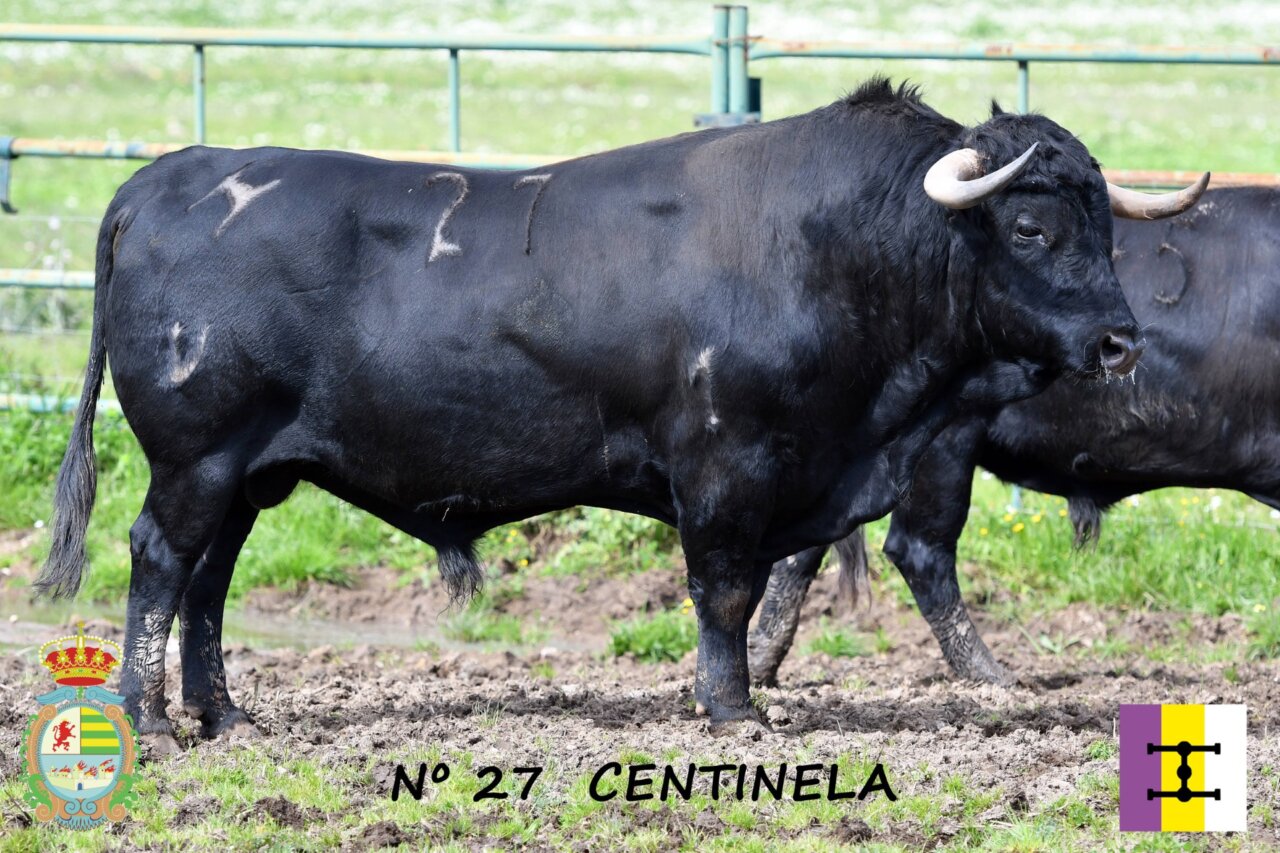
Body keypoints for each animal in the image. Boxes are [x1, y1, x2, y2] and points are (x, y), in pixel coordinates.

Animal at [35, 78, 1205, 750]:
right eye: (1031, 226)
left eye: (1102, 222)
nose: (1119, 340)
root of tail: (176, 173)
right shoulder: (727, 466)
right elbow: (725, 590)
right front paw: (733, 710)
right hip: (195, 459)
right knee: (159, 561)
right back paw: (150, 719)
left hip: (249, 473)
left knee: (208, 581)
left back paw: (226, 714)